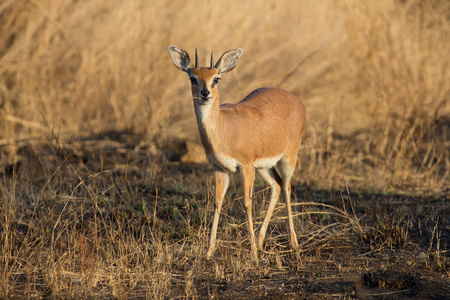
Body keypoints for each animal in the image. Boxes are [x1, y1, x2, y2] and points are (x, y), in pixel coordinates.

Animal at [169, 45, 306, 262]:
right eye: (193, 78)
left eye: (216, 78)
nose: (205, 93)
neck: (224, 129)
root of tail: (296, 99)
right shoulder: (220, 169)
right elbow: (217, 202)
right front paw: (209, 251)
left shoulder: (245, 166)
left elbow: (247, 203)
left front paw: (253, 256)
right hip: (264, 167)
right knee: (276, 186)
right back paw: (260, 242)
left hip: (287, 159)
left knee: (287, 188)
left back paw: (293, 244)